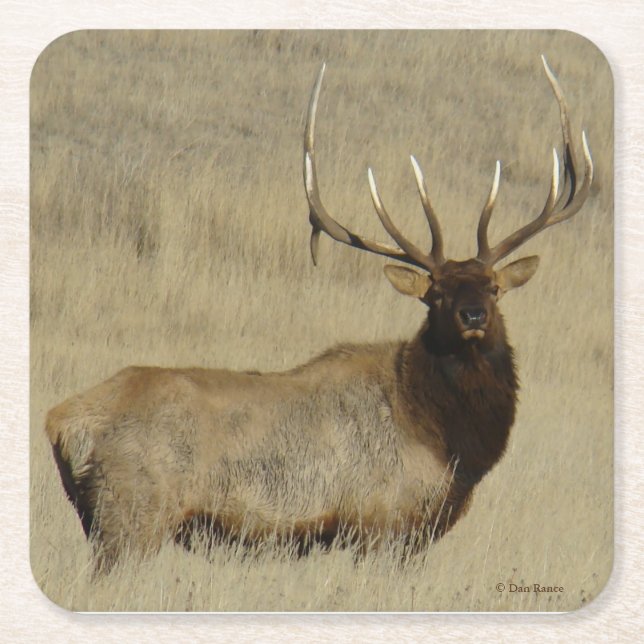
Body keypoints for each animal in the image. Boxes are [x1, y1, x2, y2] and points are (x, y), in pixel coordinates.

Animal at [45, 57, 593, 572]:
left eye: (495, 287)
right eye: (434, 294)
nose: (473, 315)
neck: (445, 442)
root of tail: (62, 421)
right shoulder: (379, 522)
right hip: (131, 515)